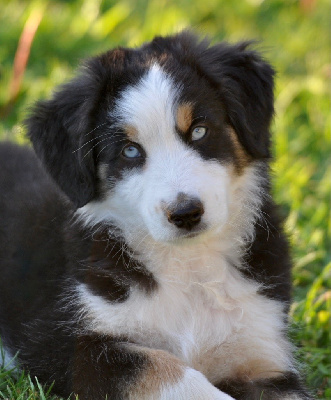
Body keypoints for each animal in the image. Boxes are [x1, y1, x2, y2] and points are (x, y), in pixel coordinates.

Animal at [0, 32, 314, 400]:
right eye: (130, 151)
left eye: (199, 131)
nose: (186, 213)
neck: (189, 266)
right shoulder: (64, 345)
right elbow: (164, 370)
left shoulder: (263, 351)